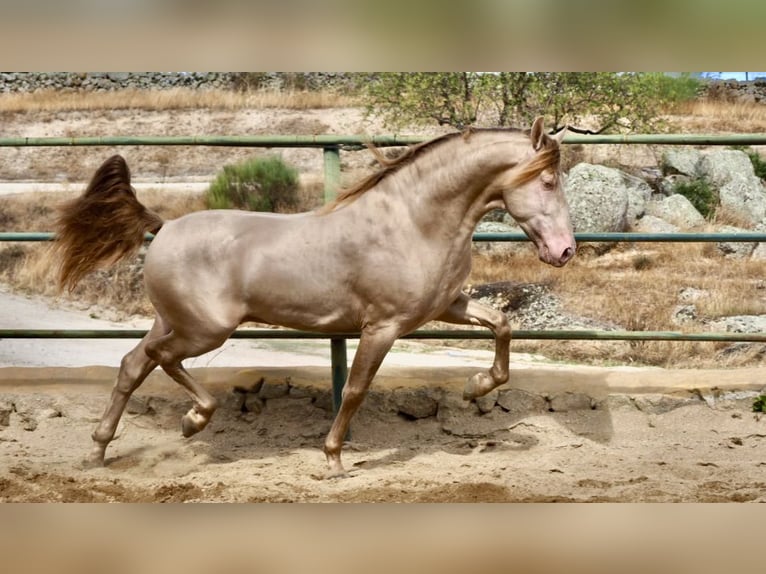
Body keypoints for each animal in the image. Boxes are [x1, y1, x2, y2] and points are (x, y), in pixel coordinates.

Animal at [54, 117, 576, 476]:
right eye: (549, 181)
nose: (565, 251)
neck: (413, 222)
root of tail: (163, 226)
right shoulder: (382, 326)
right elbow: (356, 390)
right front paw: (333, 460)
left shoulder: (446, 305)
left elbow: (502, 325)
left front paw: (475, 386)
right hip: (205, 330)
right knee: (161, 359)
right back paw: (192, 421)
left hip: (173, 321)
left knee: (132, 365)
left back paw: (99, 450)